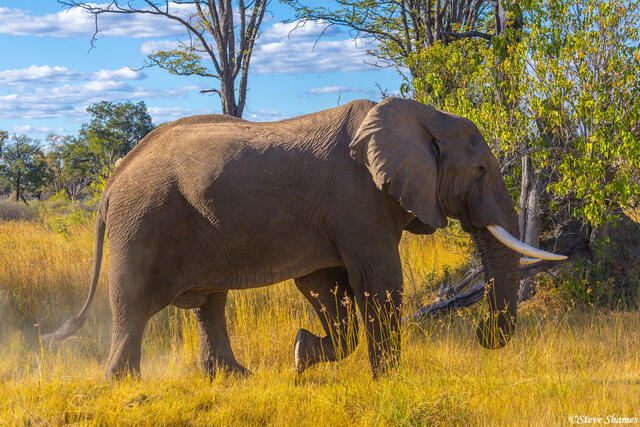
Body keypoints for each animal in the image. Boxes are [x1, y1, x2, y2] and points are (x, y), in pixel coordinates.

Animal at [45, 97, 564, 378]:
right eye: (479, 171)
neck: (418, 114)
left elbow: (325, 287)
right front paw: (390, 381)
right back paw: (125, 384)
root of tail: (112, 181)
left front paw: (300, 354)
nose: (482, 333)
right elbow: (378, 283)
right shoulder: (359, 201)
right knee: (134, 306)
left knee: (210, 302)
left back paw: (235, 378)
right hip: (142, 224)